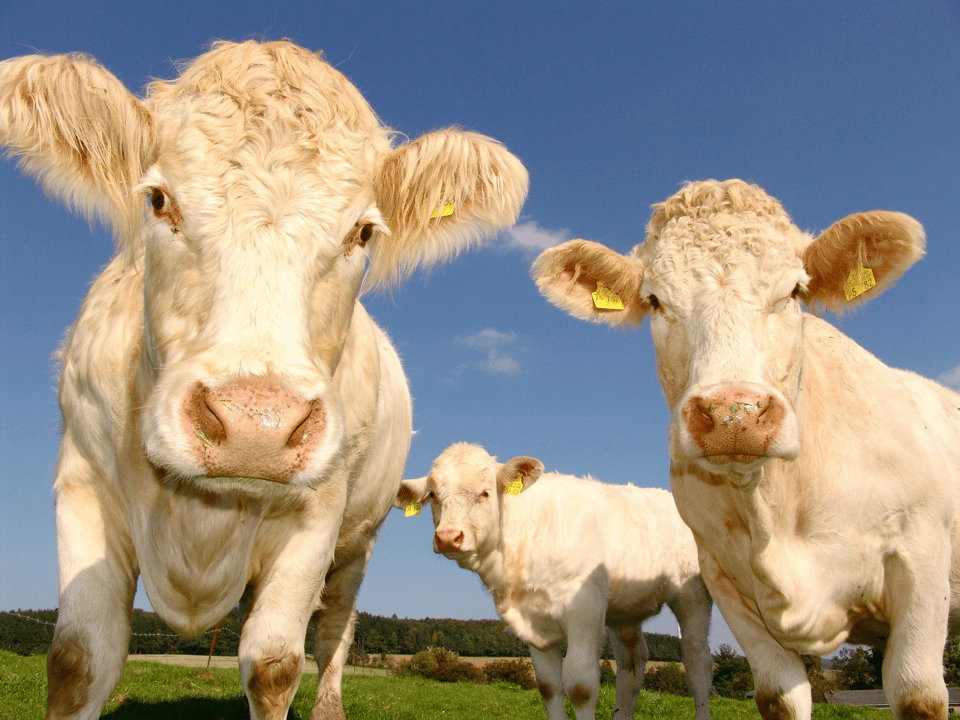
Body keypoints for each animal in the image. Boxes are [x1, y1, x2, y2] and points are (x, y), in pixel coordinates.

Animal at [0, 40, 527, 720]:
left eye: (363, 231)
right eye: (159, 200)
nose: (257, 426)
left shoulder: (318, 517)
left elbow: (275, 663)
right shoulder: (83, 483)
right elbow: (78, 656)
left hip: (358, 543)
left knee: (333, 630)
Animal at [396, 442, 714, 720]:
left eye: (485, 493)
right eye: (433, 495)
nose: (448, 537)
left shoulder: (584, 610)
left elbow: (580, 686)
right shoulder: (532, 623)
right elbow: (549, 686)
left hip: (693, 595)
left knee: (697, 662)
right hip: (624, 610)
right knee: (632, 665)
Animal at [533, 179, 960, 720]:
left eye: (794, 290)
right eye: (655, 300)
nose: (734, 413)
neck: (776, 507)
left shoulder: (920, 559)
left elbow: (917, 693)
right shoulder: (727, 582)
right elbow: (778, 696)